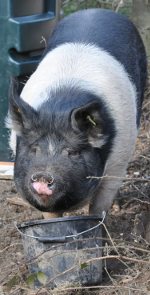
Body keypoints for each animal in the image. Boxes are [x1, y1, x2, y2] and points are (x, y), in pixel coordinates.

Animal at [6, 8, 147, 217]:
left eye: (72, 152)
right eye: (33, 149)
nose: (42, 176)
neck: (59, 108)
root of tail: (96, 10)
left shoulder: (118, 164)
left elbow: (99, 207)